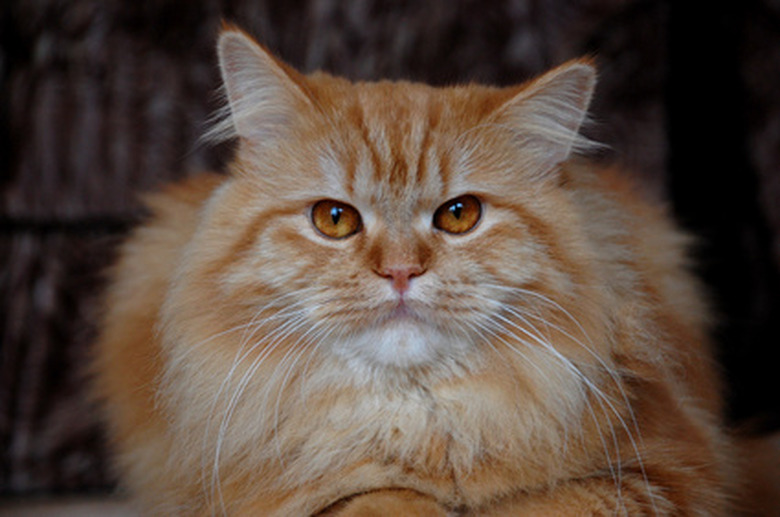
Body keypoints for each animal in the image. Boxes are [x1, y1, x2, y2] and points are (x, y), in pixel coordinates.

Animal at [93, 29, 736, 516]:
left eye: (459, 215)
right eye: (333, 219)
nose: (400, 271)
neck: (418, 421)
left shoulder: (669, 468)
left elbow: (543, 504)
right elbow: (376, 500)